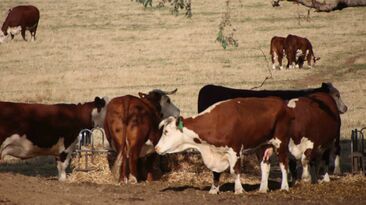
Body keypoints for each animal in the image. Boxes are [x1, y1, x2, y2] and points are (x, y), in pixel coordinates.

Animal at [156, 97, 294, 194]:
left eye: (166, 131)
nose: (156, 148)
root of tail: (282, 103)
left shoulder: (235, 150)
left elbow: (235, 171)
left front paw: (239, 190)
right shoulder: (215, 152)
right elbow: (215, 173)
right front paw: (213, 190)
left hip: (281, 142)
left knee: (284, 164)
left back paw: (284, 187)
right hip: (262, 146)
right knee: (265, 166)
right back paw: (263, 189)